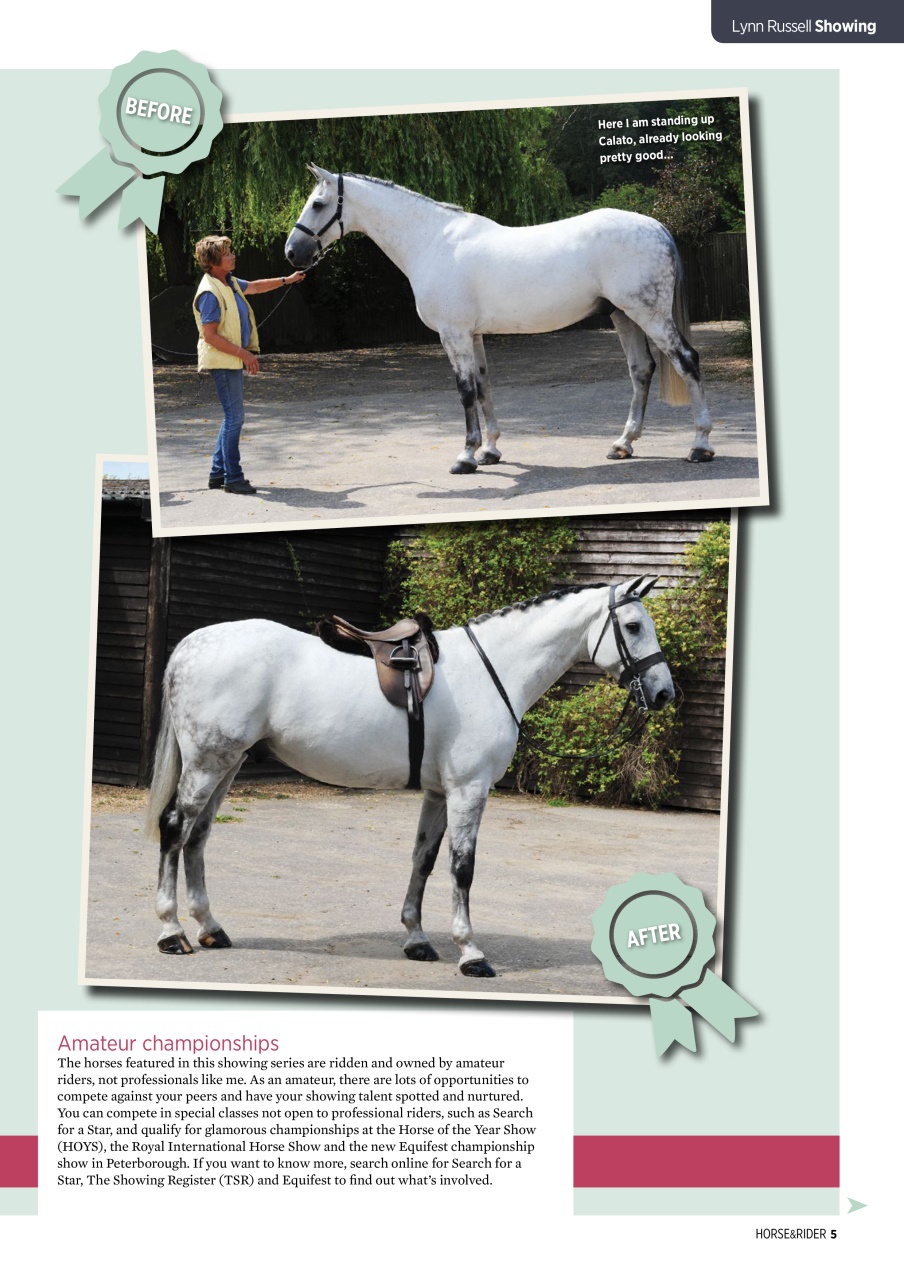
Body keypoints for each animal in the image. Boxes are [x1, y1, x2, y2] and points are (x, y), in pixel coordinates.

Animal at [144, 577, 674, 978]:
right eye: (633, 626)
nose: (664, 692)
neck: (493, 671)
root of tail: (191, 645)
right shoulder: (468, 790)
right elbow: (462, 868)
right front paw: (471, 953)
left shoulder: (439, 793)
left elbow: (424, 860)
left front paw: (417, 939)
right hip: (209, 763)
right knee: (175, 828)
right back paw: (171, 932)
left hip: (226, 764)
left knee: (198, 836)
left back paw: (211, 928)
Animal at [285, 166, 714, 475]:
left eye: (318, 204)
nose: (292, 252)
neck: (433, 242)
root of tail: (657, 227)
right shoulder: (472, 336)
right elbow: (483, 386)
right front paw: (490, 450)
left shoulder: (454, 334)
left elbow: (465, 391)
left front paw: (466, 456)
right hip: (624, 316)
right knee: (641, 370)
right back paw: (623, 444)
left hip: (648, 315)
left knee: (687, 361)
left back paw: (700, 445)